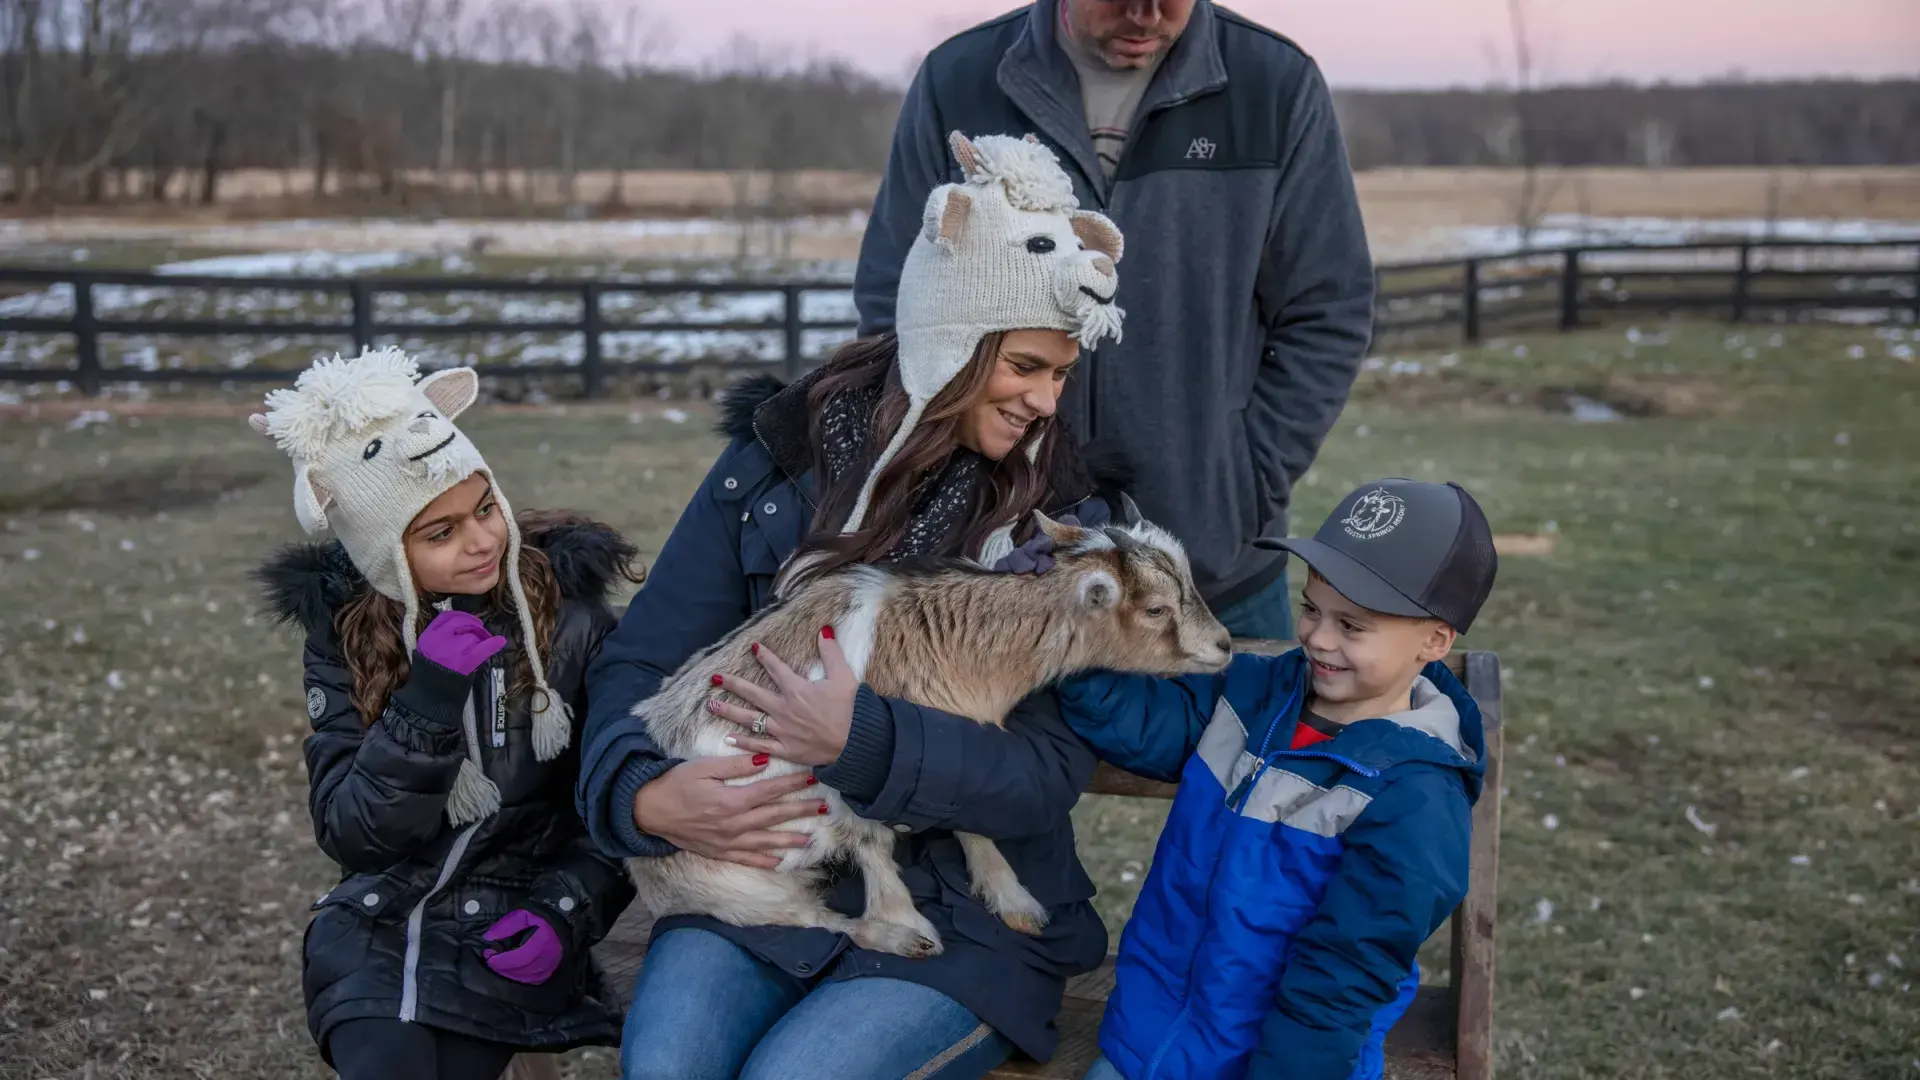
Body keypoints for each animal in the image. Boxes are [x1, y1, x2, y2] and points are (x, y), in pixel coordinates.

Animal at [629, 503, 1228, 949]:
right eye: (1155, 609)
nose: (1224, 645)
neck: (953, 639)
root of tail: (643, 873)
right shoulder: (844, 771)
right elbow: (872, 842)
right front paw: (907, 922)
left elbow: (970, 818)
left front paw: (1014, 903)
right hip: (734, 884)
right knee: (812, 917)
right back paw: (888, 937)